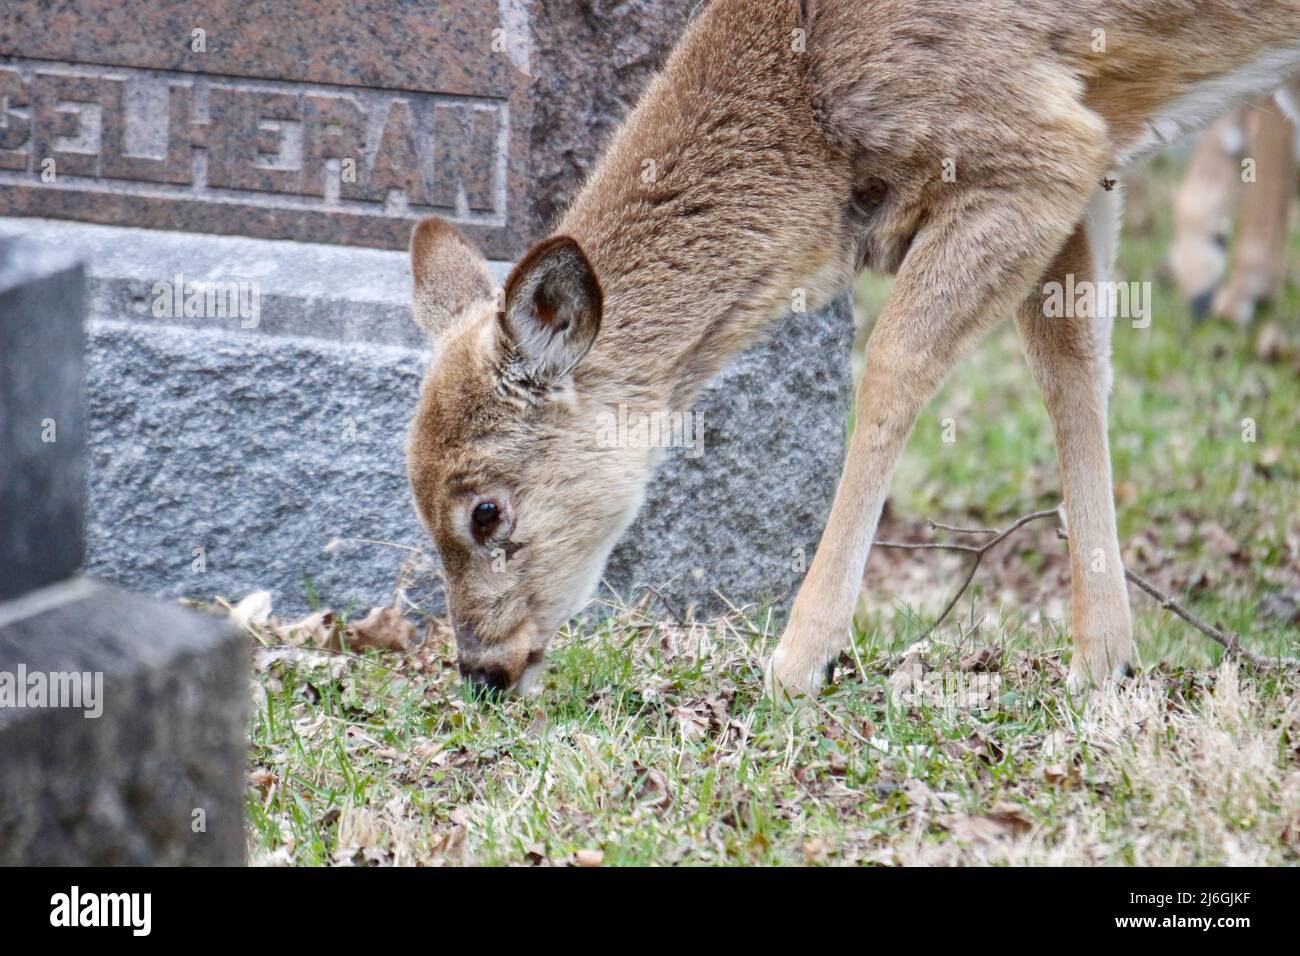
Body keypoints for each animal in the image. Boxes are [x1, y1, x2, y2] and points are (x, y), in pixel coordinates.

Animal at [405, 0, 1300, 697]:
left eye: (486, 511)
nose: (482, 670)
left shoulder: (1035, 147)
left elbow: (896, 366)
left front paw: (800, 662)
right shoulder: (1086, 155)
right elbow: (1074, 371)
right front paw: (1105, 662)